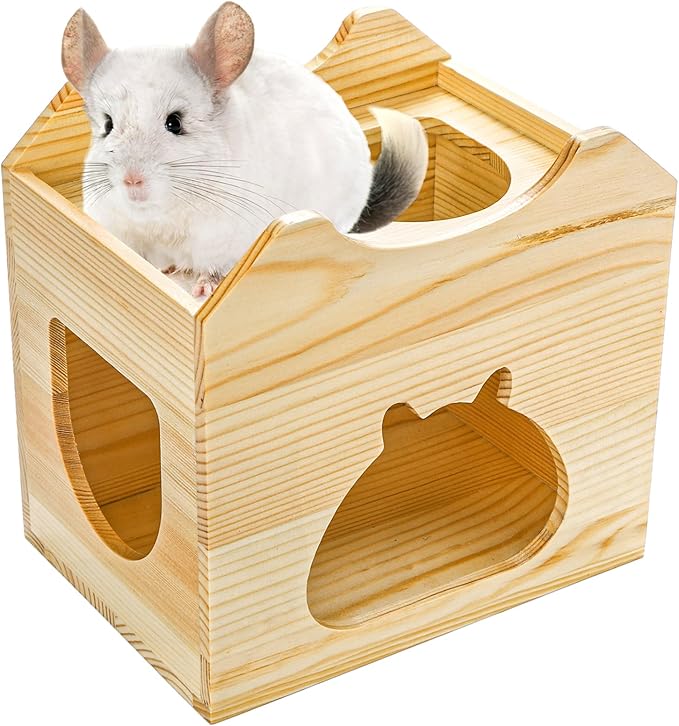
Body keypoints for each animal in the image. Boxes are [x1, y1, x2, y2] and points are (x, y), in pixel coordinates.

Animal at [61, 3, 428, 297]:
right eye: (107, 124)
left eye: (175, 122)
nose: (132, 181)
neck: (160, 217)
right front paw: (162, 269)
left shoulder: (226, 241)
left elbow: (213, 270)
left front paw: (202, 288)